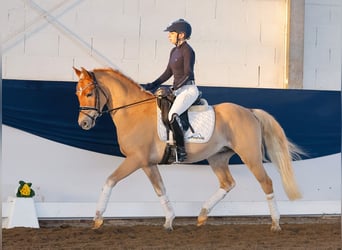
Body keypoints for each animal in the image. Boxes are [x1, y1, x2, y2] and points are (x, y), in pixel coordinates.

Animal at [73, 67, 300, 231]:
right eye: (77, 94)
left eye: (89, 93)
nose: (83, 124)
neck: (133, 111)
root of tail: (249, 111)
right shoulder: (148, 164)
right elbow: (160, 189)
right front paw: (169, 220)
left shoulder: (135, 160)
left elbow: (110, 181)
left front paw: (97, 219)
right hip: (217, 157)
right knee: (227, 183)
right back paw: (202, 215)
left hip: (250, 156)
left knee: (266, 183)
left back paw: (275, 223)